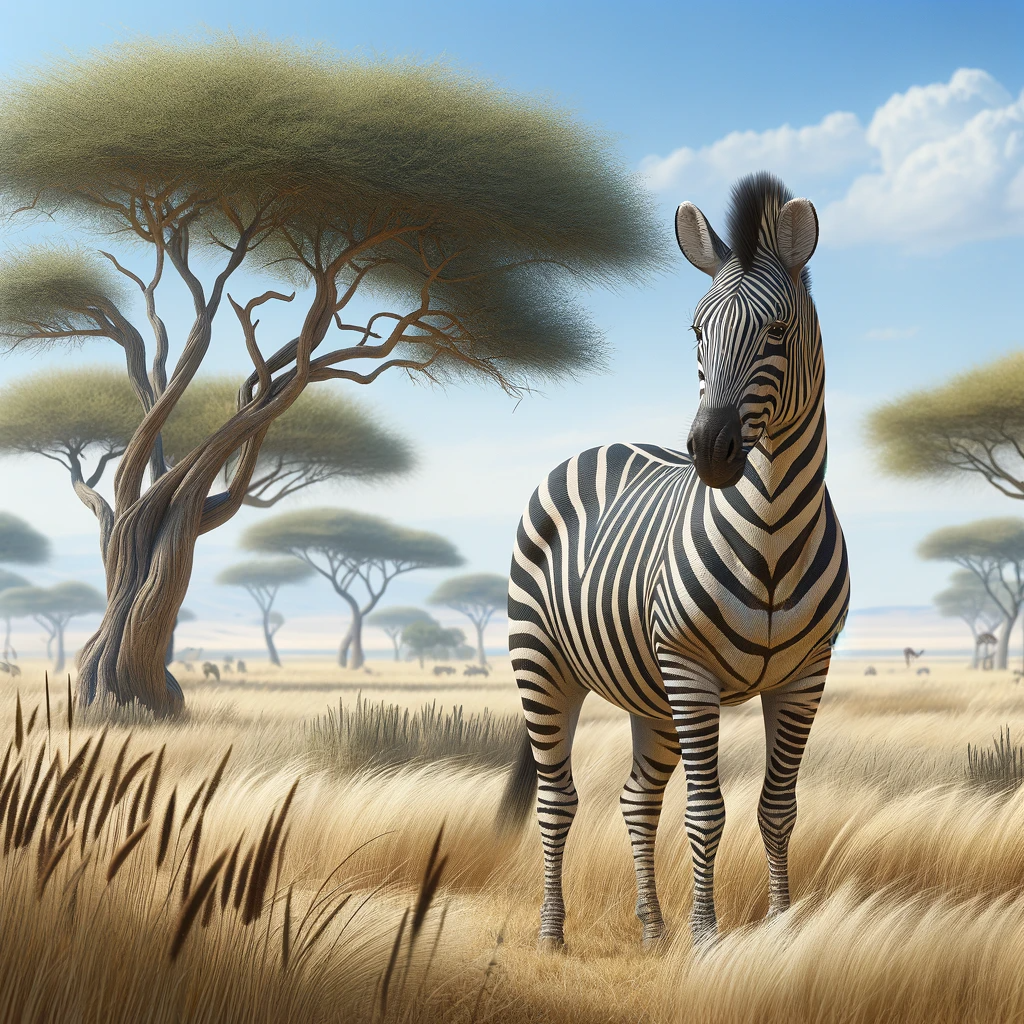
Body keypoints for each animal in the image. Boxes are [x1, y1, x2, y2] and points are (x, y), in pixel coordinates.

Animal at [499, 172, 850, 950]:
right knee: (556, 800)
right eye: (695, 333)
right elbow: (706, 811)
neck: (772, 532)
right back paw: (553, 934)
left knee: (635, 799)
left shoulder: (806, 674)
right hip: (542, 660)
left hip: (649, 691)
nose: (710, 451)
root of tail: (597, 445)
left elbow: (778, 807)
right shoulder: (691, 670)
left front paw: (781, 928)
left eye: (777, 334)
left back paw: (653, 931)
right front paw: (708, 938)